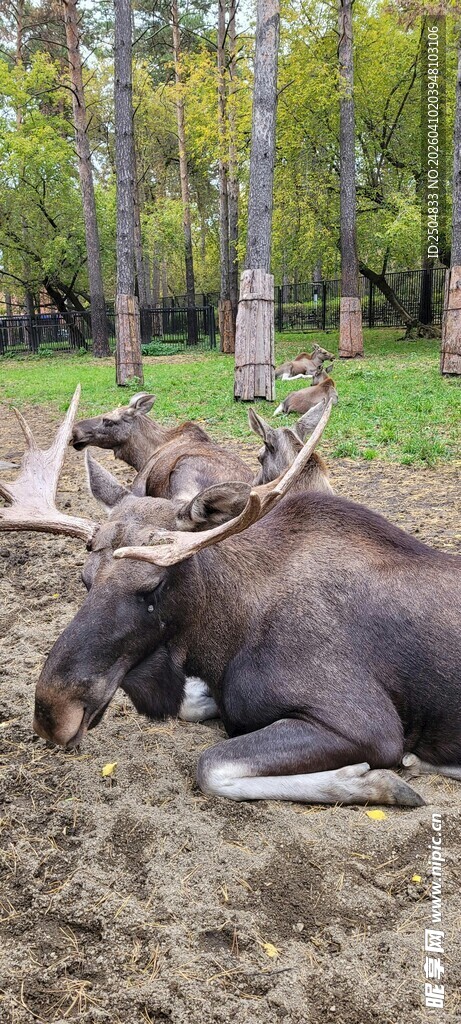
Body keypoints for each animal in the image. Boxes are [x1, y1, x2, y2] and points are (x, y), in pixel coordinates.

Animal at [2, 387, 461, 809]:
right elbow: (193, 709)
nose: (52, 713)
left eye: (151, 585)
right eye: (85, 579)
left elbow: (210, 765)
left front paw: (374, 781)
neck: (225, 637)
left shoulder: (368, 725)